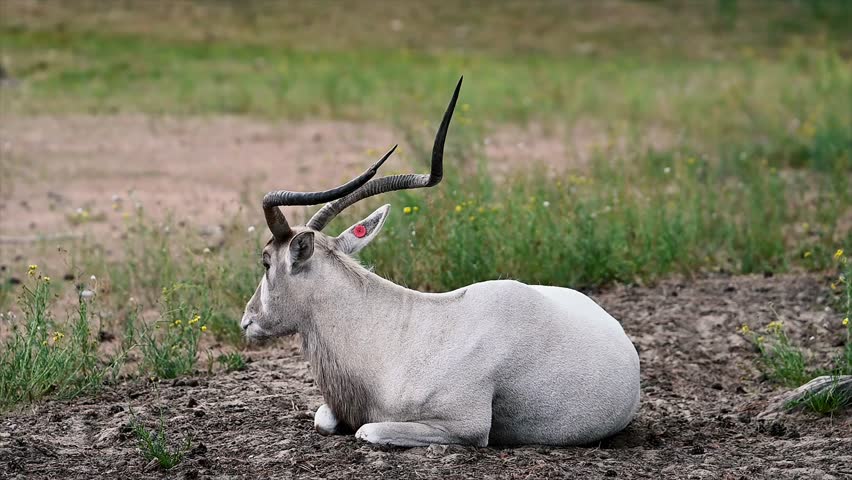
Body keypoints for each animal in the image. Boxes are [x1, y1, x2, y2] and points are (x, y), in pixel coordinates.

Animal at [240, 78, 640, 447]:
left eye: (265, 262)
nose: (246, 321)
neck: (398, 335)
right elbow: (323, 419)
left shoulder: (465, 426)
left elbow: (368, 430)